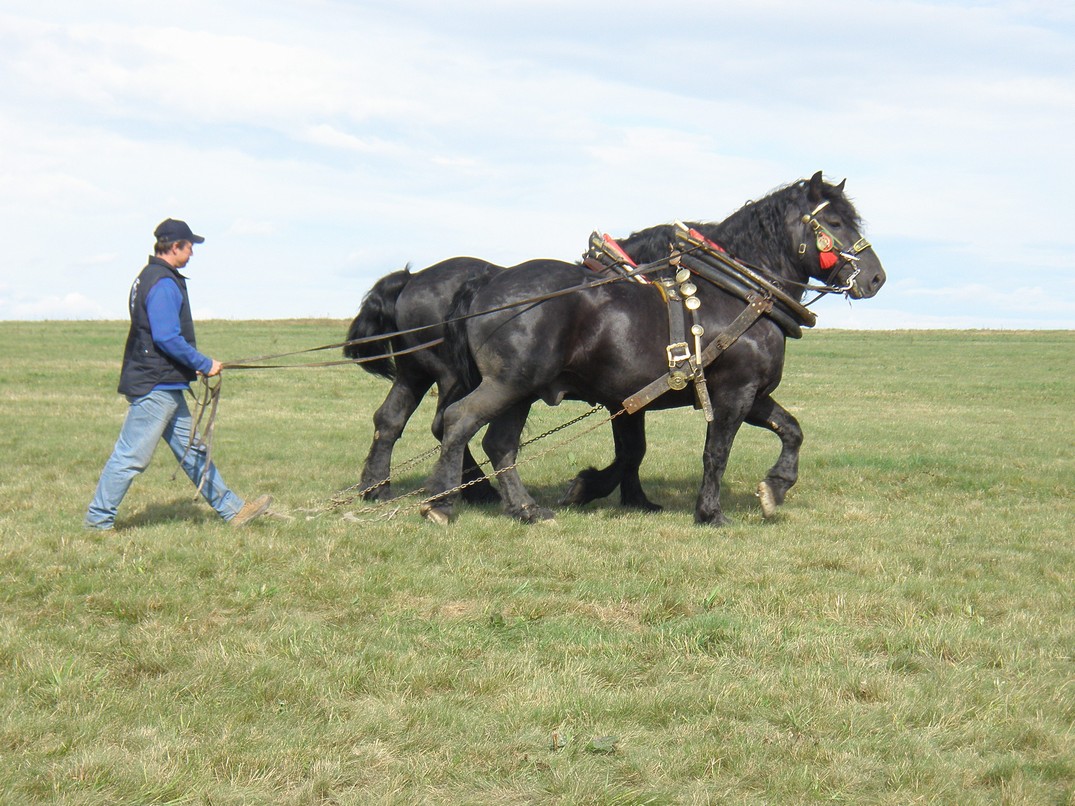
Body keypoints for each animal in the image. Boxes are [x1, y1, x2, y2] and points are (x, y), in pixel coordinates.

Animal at [423, 174, 885, 526]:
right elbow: (716, 452)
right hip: (509, 384)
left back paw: (526, 509)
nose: (876, 278)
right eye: (836, 222)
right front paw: (710, 513)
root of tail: (489, 281)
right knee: (459, 421)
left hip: (521, 391)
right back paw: (442, 504)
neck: (740, 293)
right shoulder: (734, 393)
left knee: (499, 444)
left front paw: (776, 486)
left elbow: (791, 430)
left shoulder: (750, 395)